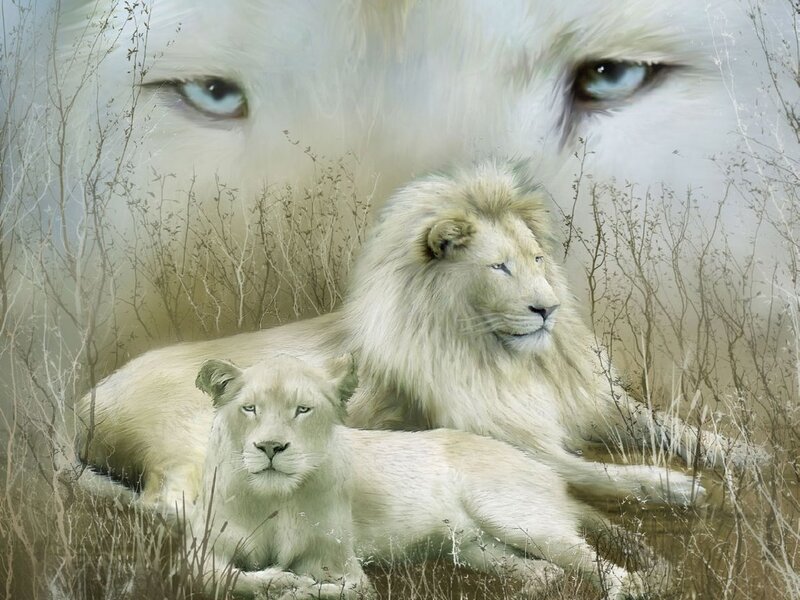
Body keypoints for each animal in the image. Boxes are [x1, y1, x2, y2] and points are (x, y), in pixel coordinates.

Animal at [192, 353, 650, 600]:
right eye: (249, 408)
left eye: (303, 410)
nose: (270, 448)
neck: (273, 499)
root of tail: (545, 470)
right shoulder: (202, 551)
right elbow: (220, 576)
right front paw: (278, 582)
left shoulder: (343, 565)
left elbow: (342, 589)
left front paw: (293, 586)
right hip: (476, 549)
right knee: (545, 573)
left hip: (522, 522)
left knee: (615, 570)